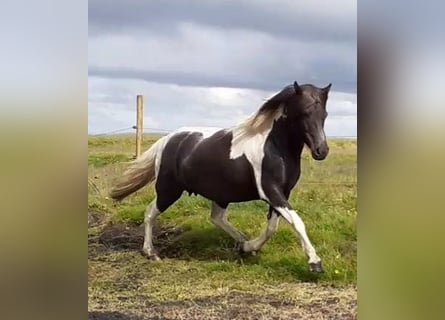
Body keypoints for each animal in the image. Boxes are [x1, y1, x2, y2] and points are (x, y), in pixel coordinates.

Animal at [110, 80, 332, 272]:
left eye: (325, 114)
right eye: (304, 112)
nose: (321, 151)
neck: (274, 146)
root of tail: (167, 139)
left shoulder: (282, 193)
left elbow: (272, 227)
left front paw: (250, 247)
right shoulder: (271, 191)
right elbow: (296, 222)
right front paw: (315, 262)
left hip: (219, 194)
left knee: (217, 218)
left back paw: (242, 243)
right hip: (168, 190)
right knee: (150, 212)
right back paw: (150, 252)